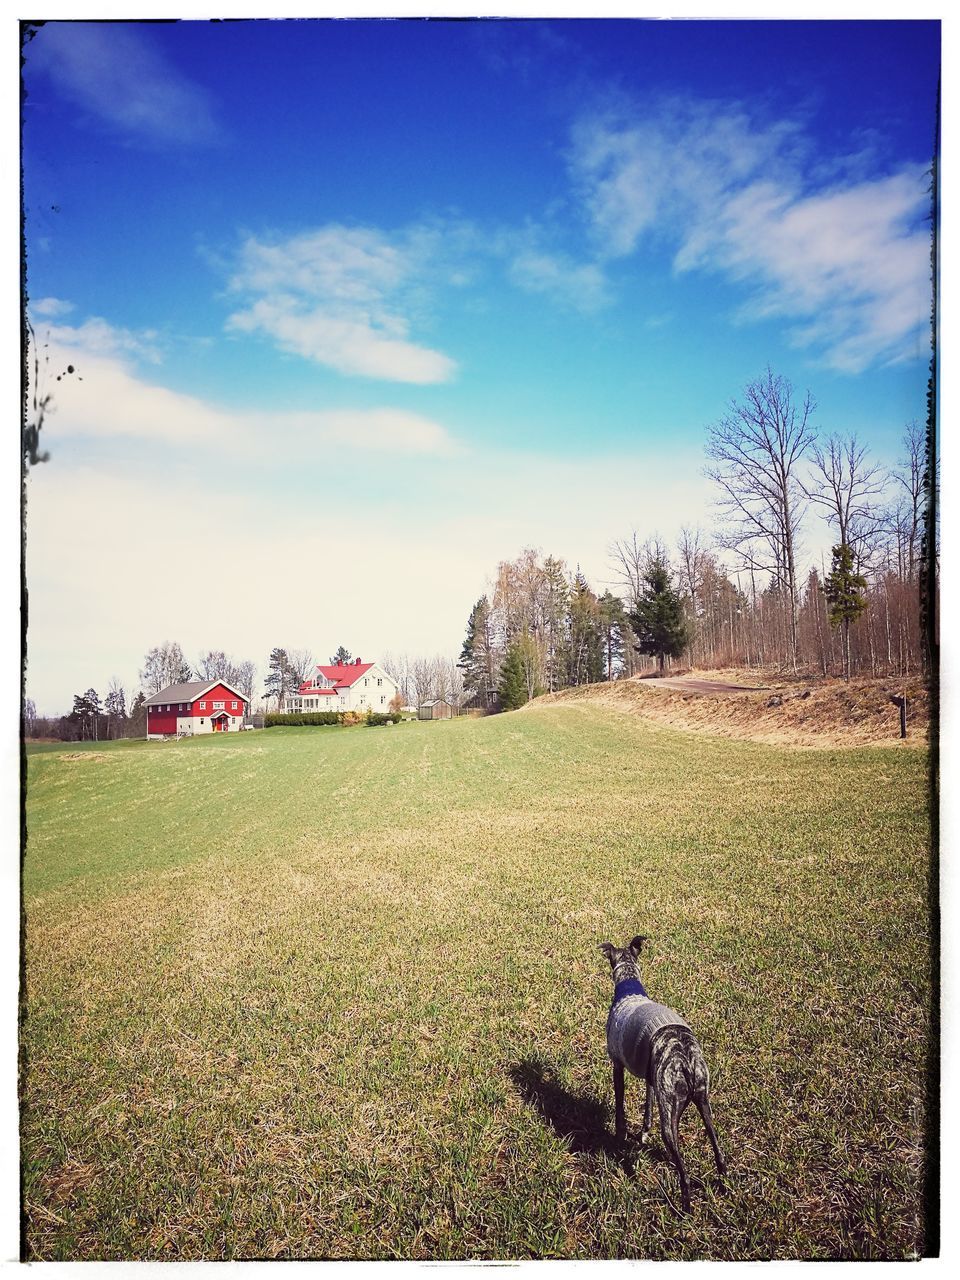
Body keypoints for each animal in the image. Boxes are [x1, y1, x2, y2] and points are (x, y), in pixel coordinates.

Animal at [599, 931, 727, 1208]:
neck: (629, 989)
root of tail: (686, 1059)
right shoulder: (650, 1077)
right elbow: (647, 1109)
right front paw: (643, 1134)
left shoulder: (617, 1063)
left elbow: (620, 1106)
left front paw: (620, 1136)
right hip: (701, 1102)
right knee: (718, 1149)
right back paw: (725, 1185)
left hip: (669, 1116)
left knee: (685, 1174)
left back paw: (685, 1208)